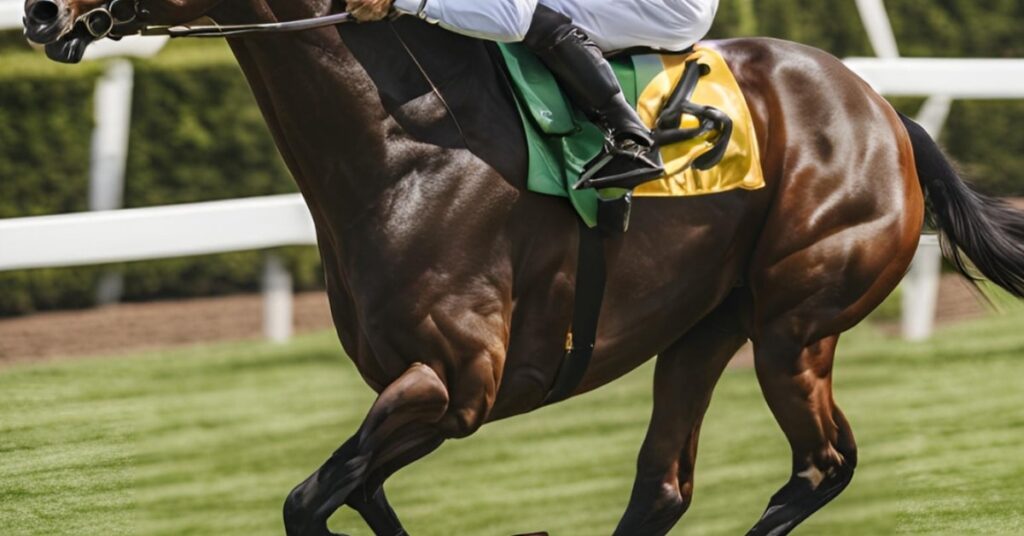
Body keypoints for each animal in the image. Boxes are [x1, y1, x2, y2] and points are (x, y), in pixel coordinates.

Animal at [22, 2, 1024, 532]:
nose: (39, 12)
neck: (405, 145)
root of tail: (885, 113)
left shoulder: (456, 383)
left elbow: (310, 500)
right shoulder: (411, 390)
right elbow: (358, 493)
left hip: (794, 326)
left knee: (822, 466)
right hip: (705, 327)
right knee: (665, 483)